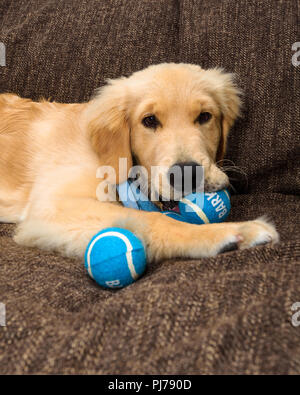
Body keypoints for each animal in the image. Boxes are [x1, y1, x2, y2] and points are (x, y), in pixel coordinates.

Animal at [0, 64, 278, 262]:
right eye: (149, 120)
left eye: (204, 116)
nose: (187, 174)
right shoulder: (52, 208)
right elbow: (155, 219)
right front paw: (229, 234)